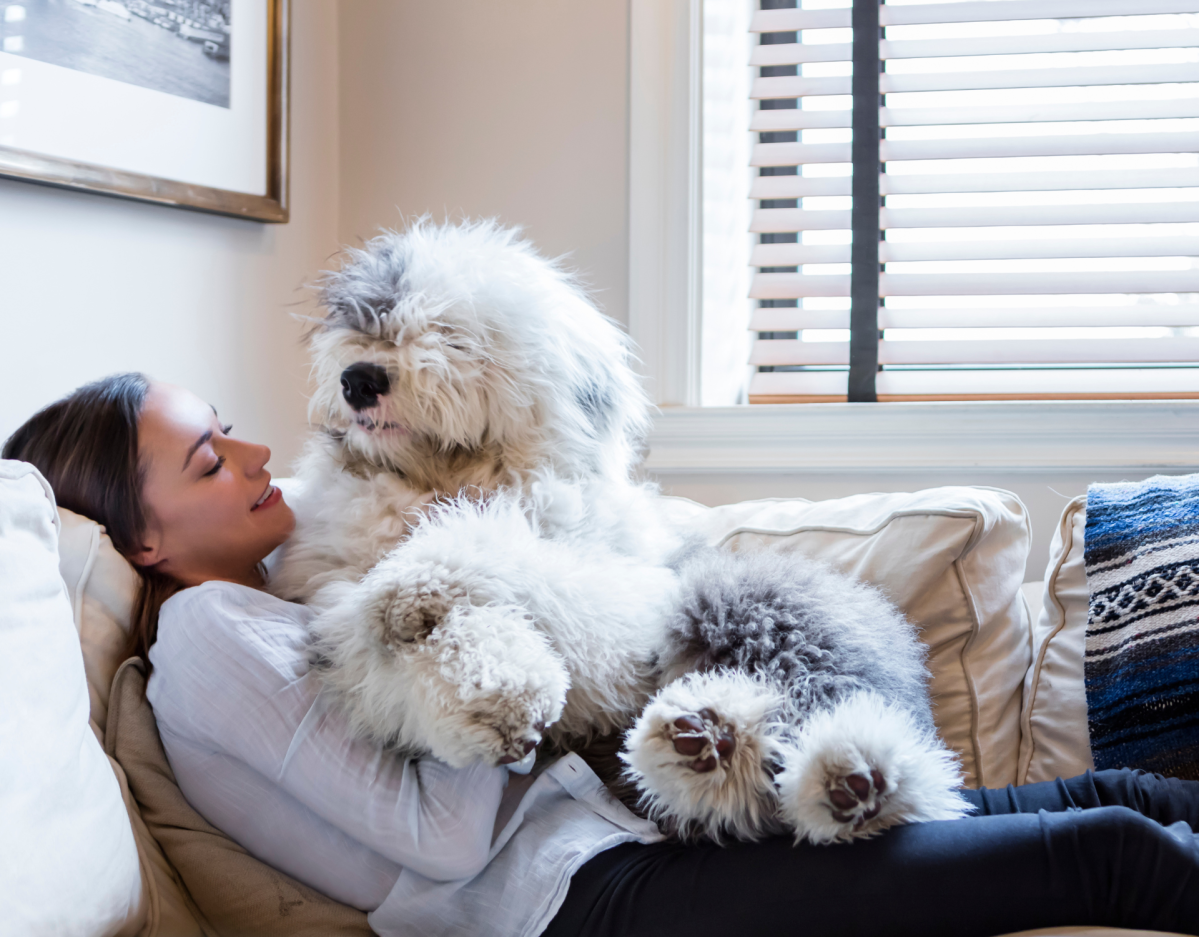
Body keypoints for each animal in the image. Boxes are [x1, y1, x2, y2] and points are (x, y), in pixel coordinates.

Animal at [267, 217, 968, 839]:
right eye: (364, 321)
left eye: (449, 332)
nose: (359, 380)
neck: (444, 482)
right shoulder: (334, 607)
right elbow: (386, 660)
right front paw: (496, 700)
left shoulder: (629, 606)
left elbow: (491, 555)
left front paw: (419, 585)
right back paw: (708, 748)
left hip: (748, 600)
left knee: (849, 715)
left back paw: (851, 776)